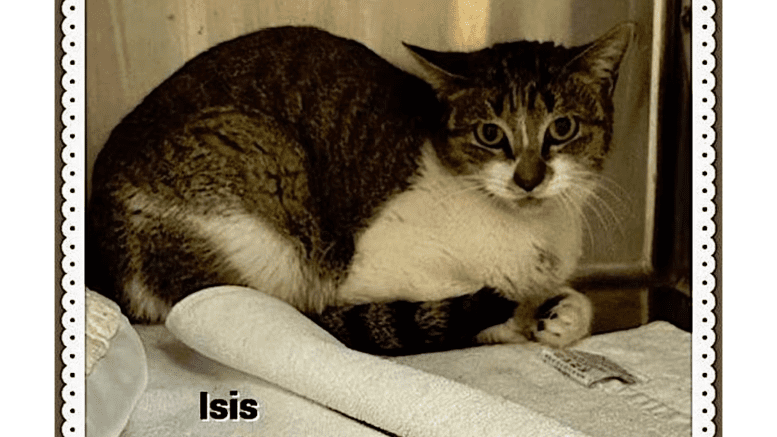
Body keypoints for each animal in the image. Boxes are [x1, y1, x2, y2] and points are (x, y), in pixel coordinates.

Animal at [86, 22, 632, 354]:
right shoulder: (368, 272)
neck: (527, 233)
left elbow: (571, 300)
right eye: (490, 135)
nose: (529, 178)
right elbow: (469, 308)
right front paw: (517, 320)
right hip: (262, 178)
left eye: (562, 128)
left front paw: (563, 315)